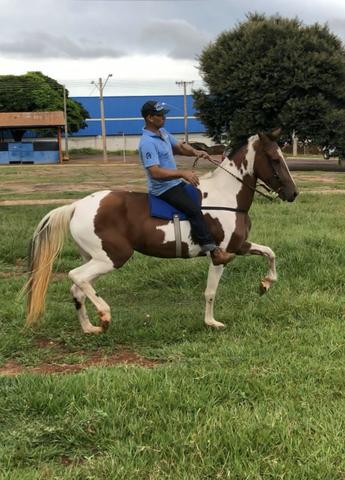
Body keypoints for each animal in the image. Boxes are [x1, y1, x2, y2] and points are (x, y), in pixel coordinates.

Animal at [25, 129, 296, 336]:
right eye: (274, 159)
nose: (293, 193)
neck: (226, 197)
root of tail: (76, 206)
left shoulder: (238, 246)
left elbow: (270, 253)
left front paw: (265, 284)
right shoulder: (221, 254)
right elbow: (210, 291)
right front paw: (211, 322)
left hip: (96, 259)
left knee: (77, 289)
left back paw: (89, 327)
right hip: (112, 258)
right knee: (76, 277)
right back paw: (105, 314)